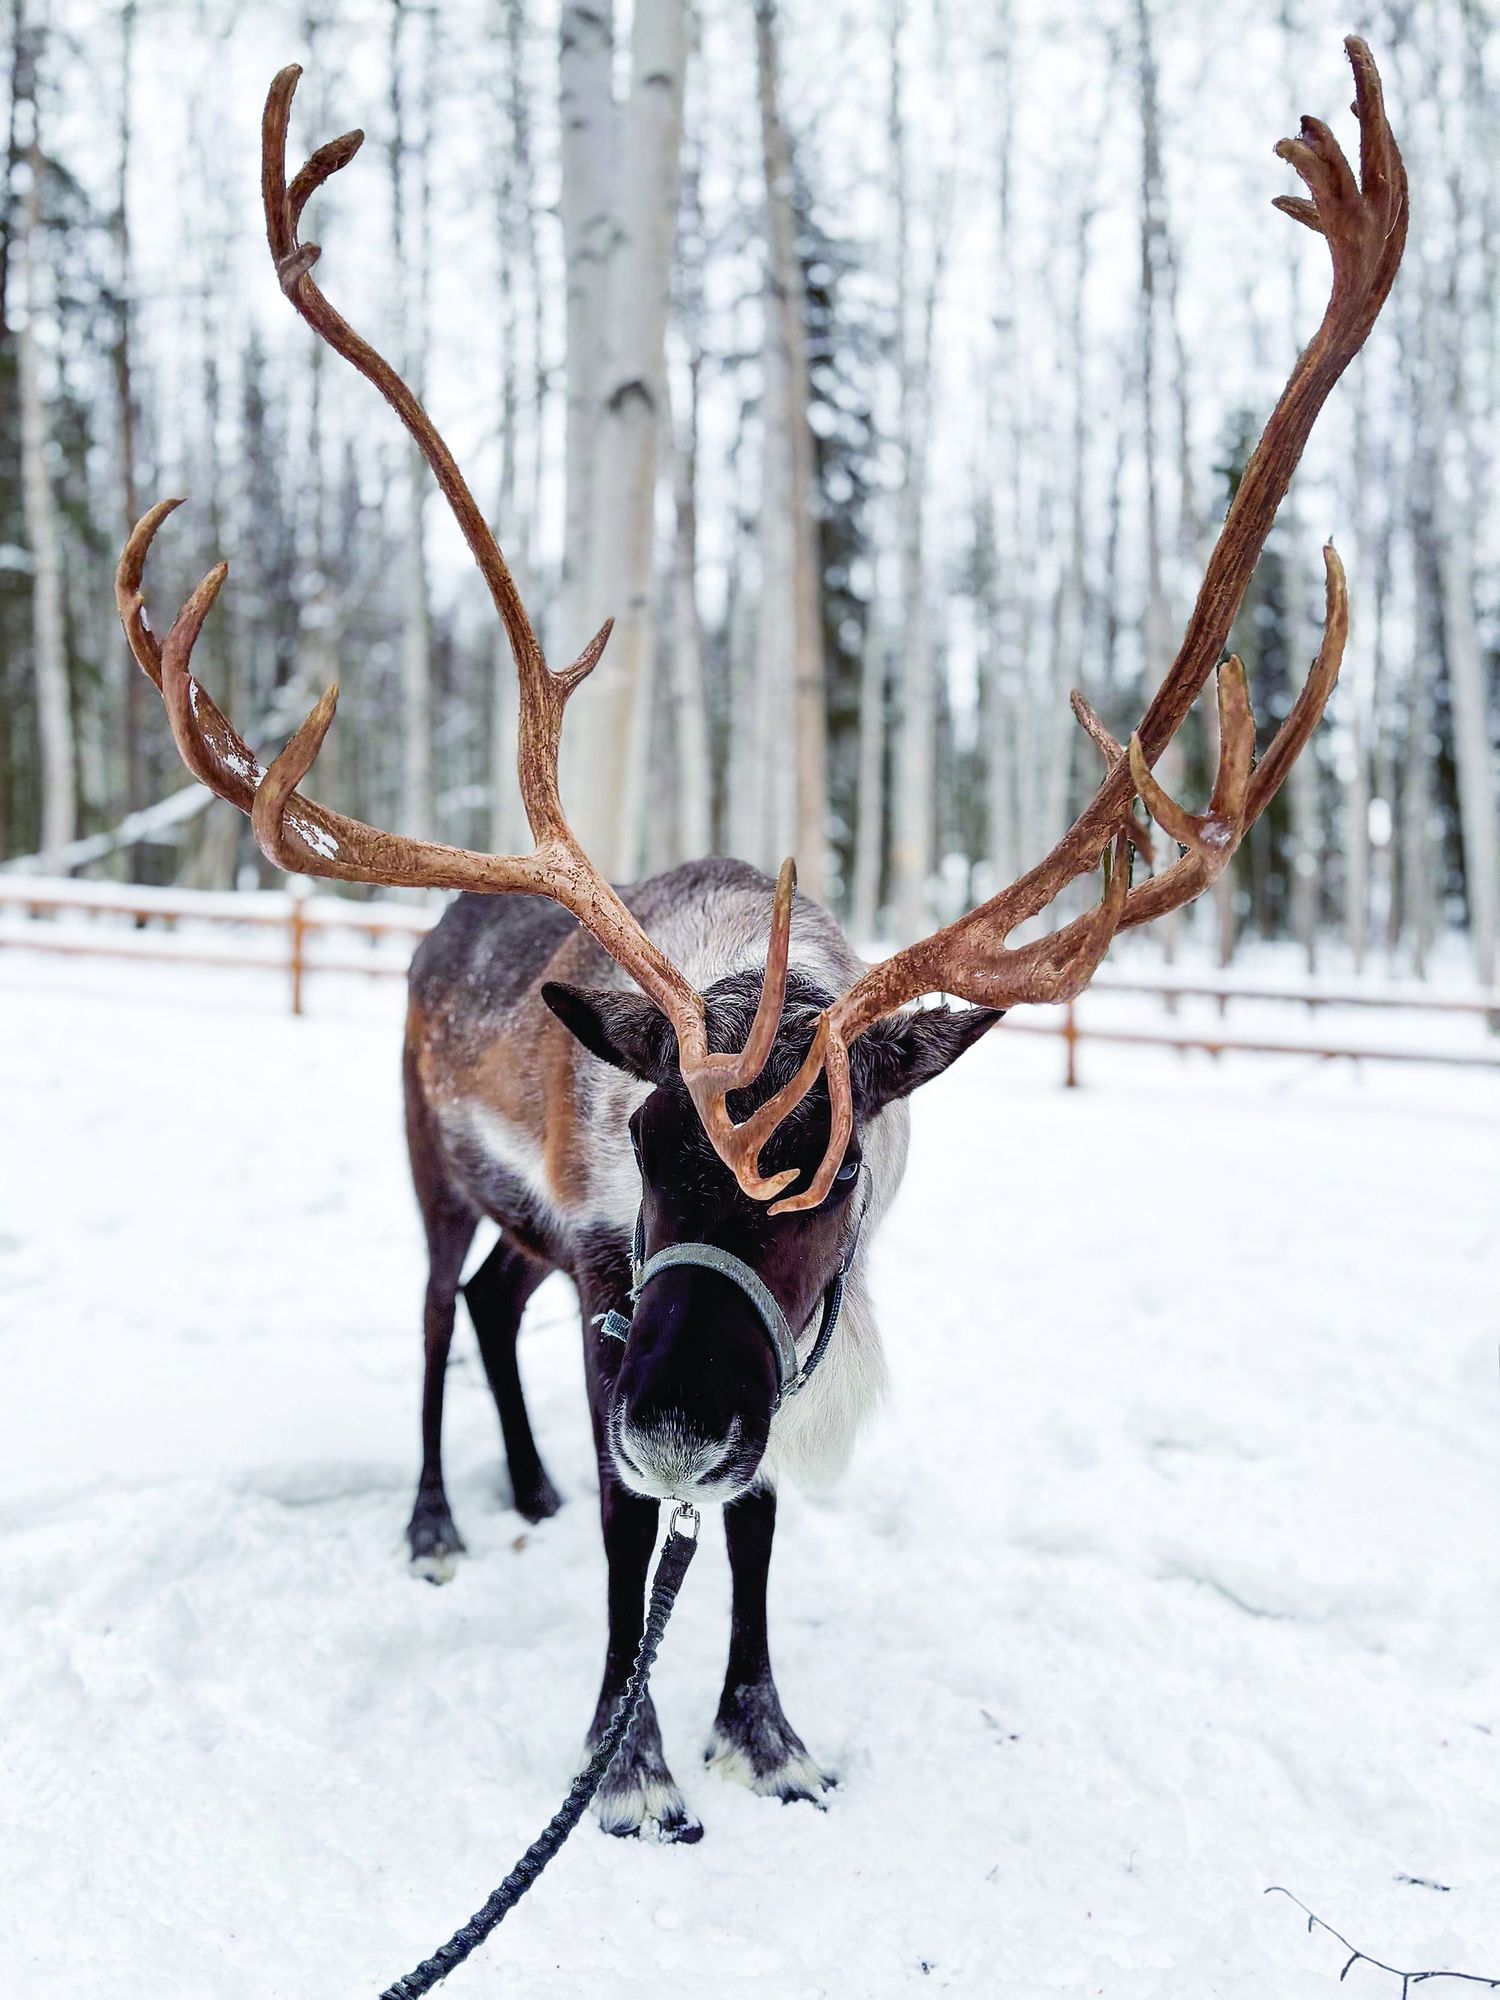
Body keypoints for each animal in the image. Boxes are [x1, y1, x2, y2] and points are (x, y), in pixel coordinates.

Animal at [116, 43, 1404, 1843]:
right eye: (655, 1137)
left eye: (841, 1169)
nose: (673, 1419)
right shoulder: (618, 1276)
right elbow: (629, 1543)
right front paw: (631, 1764)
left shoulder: (781, 1339)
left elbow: (757, 1526)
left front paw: (767, 1730)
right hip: (436, 1171)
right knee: (440, 1313)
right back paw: (443, 1522)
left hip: (540, 1253)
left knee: (500, 1322)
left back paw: (522, 1486)